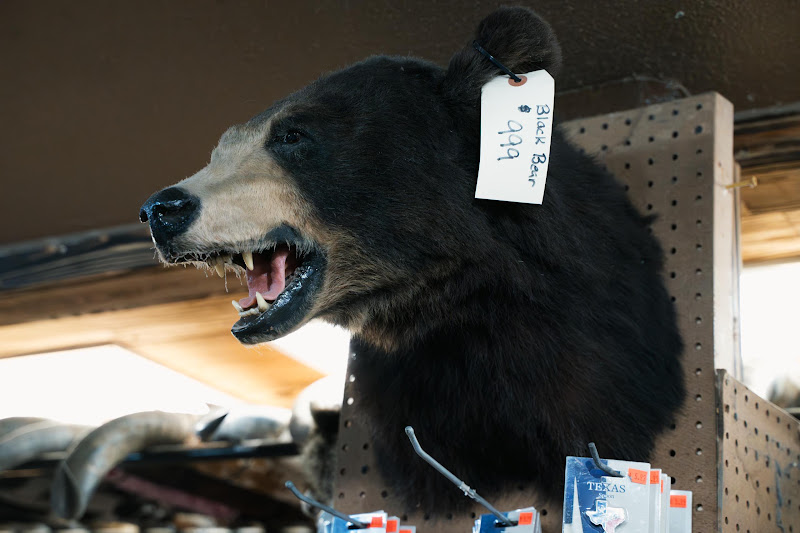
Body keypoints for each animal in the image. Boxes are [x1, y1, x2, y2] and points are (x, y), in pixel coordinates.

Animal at [139, 5, 685, 521]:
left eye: (292, 135)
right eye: (220, 149)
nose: (162, 209)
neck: (456, 308)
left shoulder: (596, 352)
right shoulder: (409, 389)